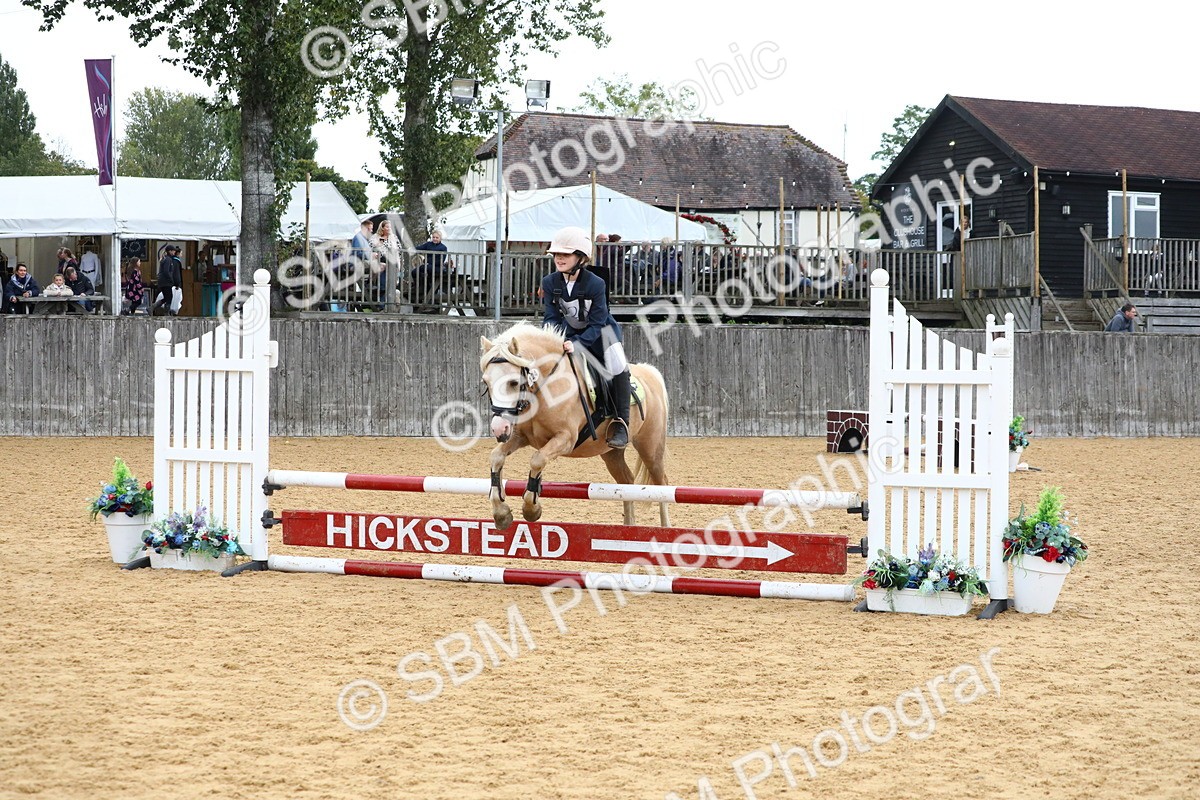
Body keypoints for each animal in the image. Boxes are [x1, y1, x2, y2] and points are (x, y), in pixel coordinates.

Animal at [479, 323, 671, 531]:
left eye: (513, 382)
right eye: (486, 382)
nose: (499, 429)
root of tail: (649, 372)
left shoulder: (566, 438)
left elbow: (537, 460)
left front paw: (531, 509)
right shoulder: (519, 436)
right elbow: (496, 457)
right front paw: (501, 513)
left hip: (650, 447)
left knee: (661, 484)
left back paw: (666, 530)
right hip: (611, 452)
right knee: (626, 483)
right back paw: (628, 529)